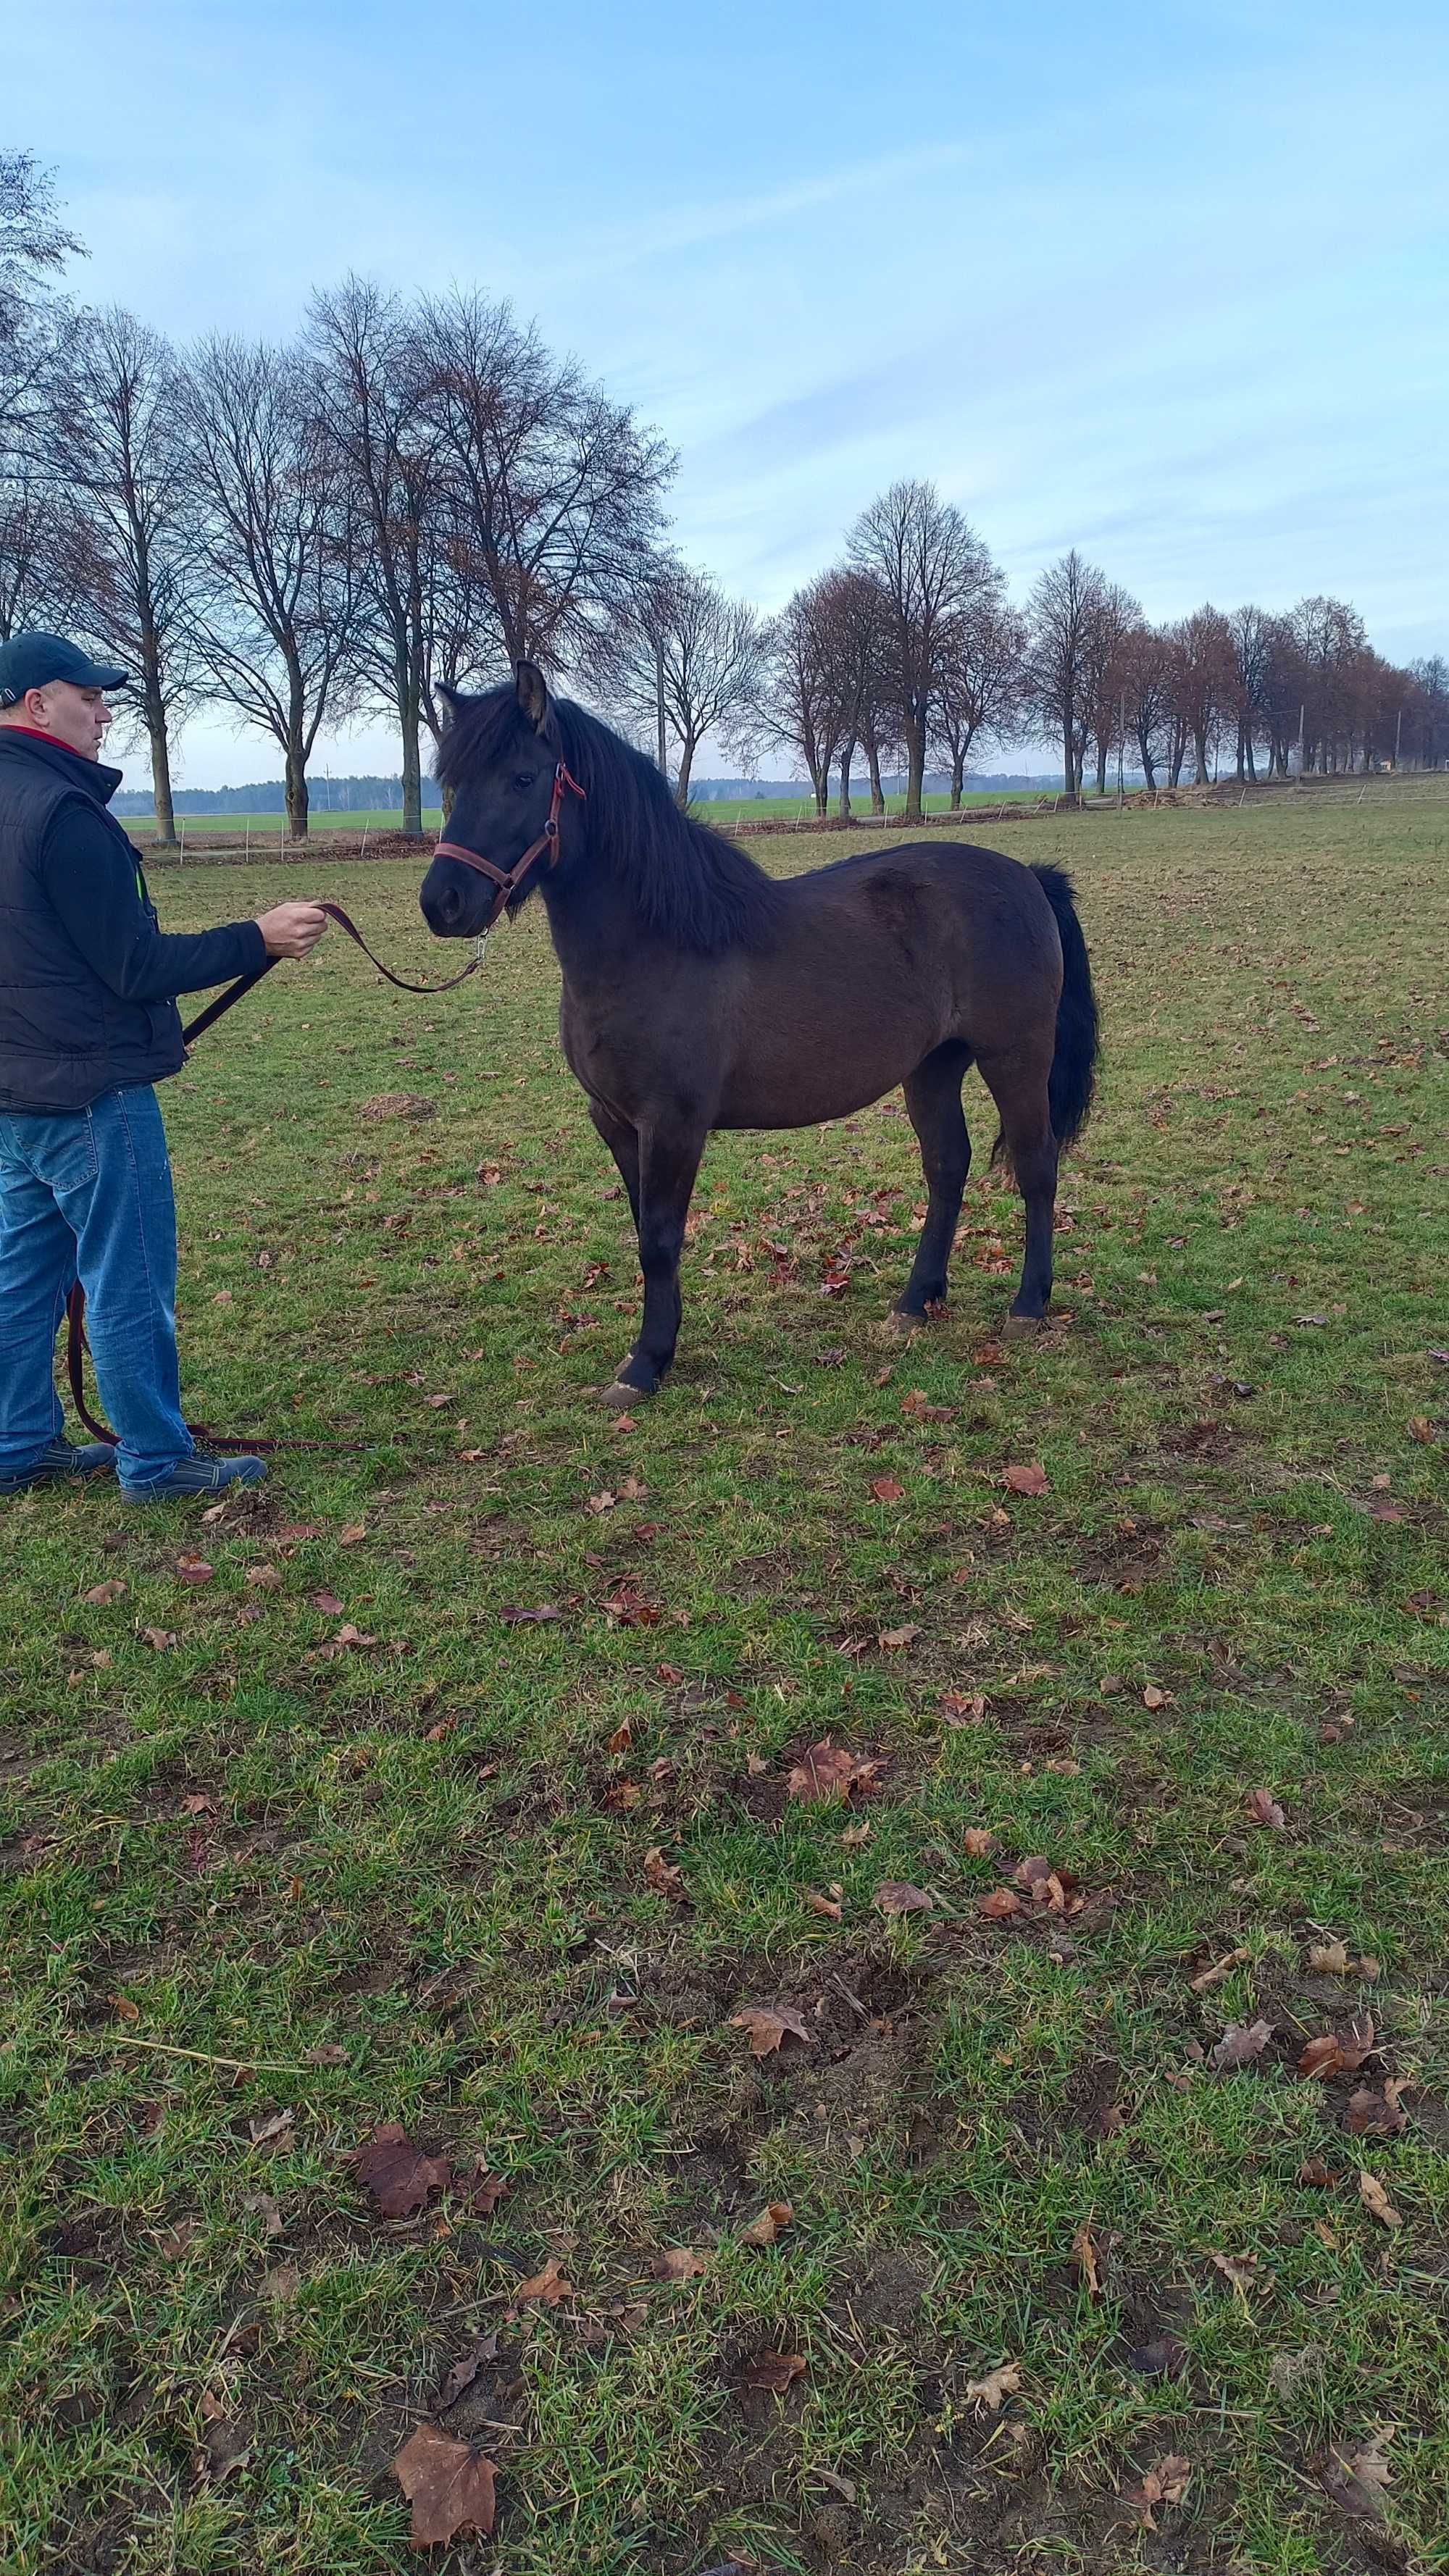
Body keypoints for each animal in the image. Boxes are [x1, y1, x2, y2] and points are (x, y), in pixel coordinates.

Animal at [420, 664, 1093, 1411]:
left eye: (522, 778)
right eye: (452, 781)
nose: (443, 902)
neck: (655, 946)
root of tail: (1026, 877)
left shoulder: (674, 1125)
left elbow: (660, 1239)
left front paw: (645, 1364)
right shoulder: (615, 1122)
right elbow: (647, 1232)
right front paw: (659, 1345)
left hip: (1016, 1058)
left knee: (1036, 1165)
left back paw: (1028, 1307)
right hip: (933, 1067)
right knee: (948, 1166)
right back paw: (915, 1302)